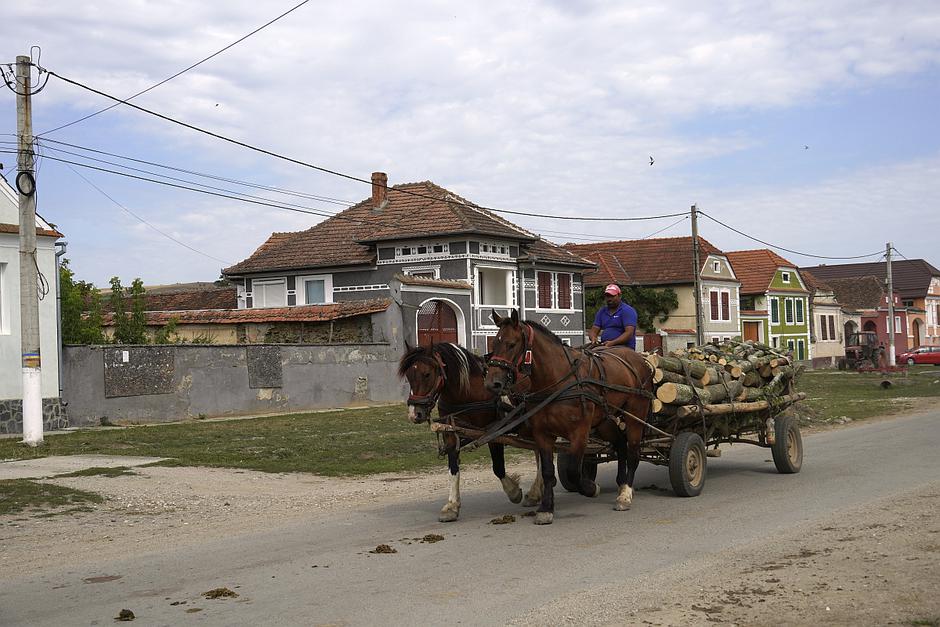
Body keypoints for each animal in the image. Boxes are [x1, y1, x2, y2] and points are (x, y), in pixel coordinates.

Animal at [396, 340, 544, 524]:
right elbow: (453, 468)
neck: (467, 392)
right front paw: (452, 506)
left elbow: (498, 467)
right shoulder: (450, 433)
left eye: (427, 374)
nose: (415, 414)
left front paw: (513, 491)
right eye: (409, 376)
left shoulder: (492, 432)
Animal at [484, 310, 652, 524]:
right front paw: (546, 508)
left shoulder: (579, 433)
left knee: (633, 452)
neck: (558, 380)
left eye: (511, 344)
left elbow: (573, 472)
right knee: (621, 446)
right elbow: (548, 471)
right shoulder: (542, 433)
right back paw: (621, 484)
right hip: (605, 421)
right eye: (494, 344)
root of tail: (639, 360)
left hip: (636, 414)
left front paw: (591, 488)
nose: (492, 383)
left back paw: (625, 494)